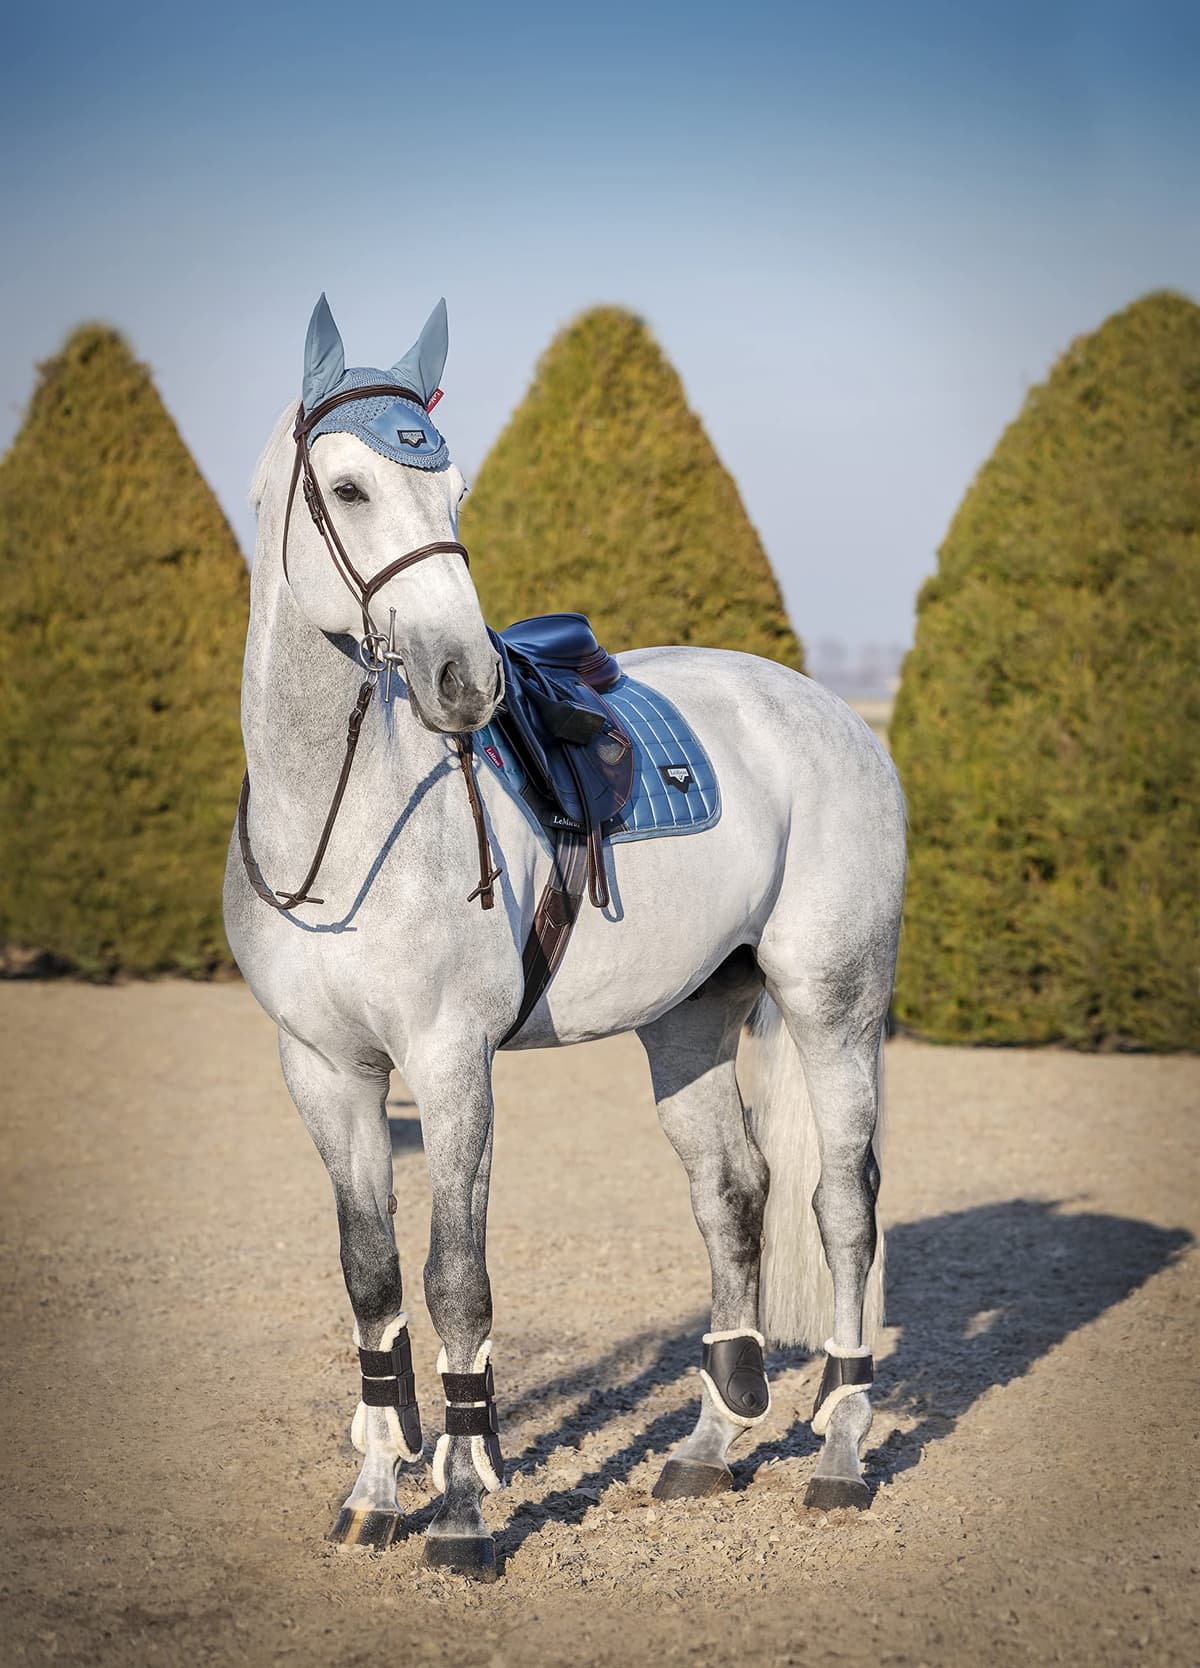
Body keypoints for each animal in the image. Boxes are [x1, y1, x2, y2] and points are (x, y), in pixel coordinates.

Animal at [223, 295, 907, 1579]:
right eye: (347, 488)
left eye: (454, 491)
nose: (464, 679)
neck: (336, 827)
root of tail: (830, 713)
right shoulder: (323, 1072)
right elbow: (371, 1278)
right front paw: (375, 1495)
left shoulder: (449, 1065)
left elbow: (457, 1279)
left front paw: (463, 1511)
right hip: (688, 1022)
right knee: (733, 1193)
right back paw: (708, 1445)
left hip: (833, 1004)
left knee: (842, 1206)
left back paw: (840, 1454)